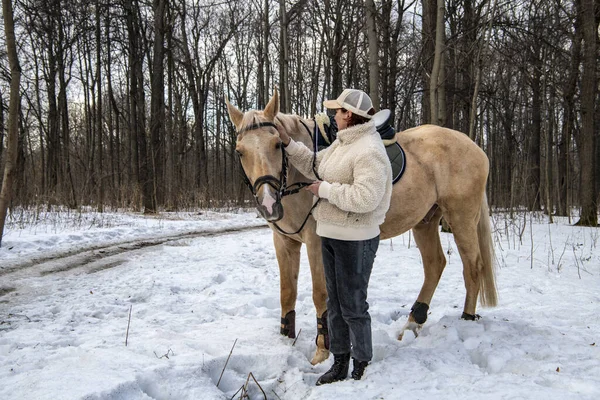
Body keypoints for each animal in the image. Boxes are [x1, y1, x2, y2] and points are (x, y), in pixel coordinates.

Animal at [226, 90, 496, 366]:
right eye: (240, 151)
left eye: (277, 145)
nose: (268, 203)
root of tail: (475, 147)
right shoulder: (284, 242)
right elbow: (287, 293)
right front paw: (285, 341)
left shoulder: (315, 242)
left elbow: (319, 294)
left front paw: (321, 352)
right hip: (426, 220)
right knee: (435, 265)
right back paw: (411, 324)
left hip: (461, 216)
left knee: (473, 267)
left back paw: (466, 319)